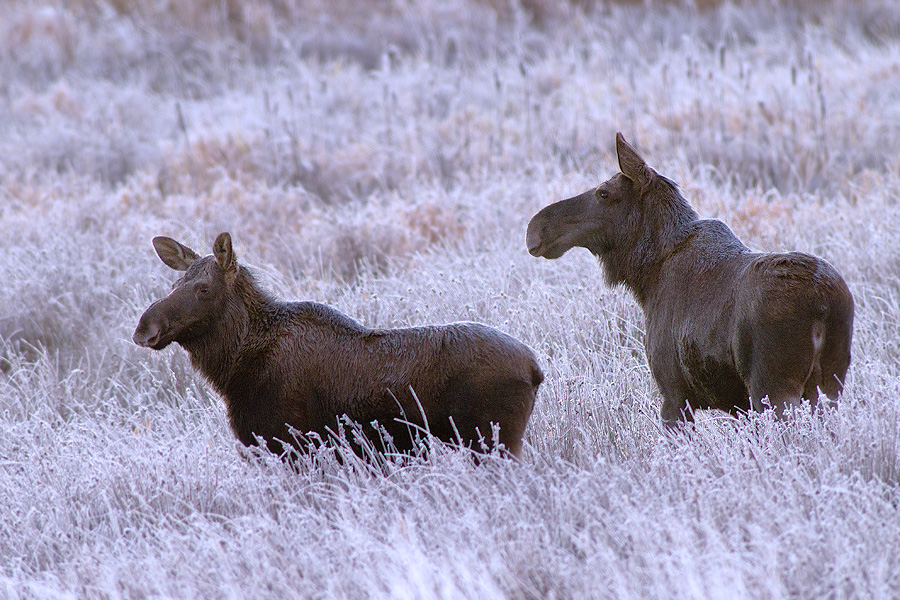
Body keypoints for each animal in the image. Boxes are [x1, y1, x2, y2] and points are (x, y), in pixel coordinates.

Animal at [133, 232, 540, 458]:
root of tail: (536, 370)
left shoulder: (289, 445)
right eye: (175, 285)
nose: (144, 327)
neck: (234, 371)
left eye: (203, 289)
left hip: (492, 442)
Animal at [524, 135, 856, 426]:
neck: (646, 278)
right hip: (830, 387)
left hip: (773, 390)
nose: (536, 228)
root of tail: (823, 305)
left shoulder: (674, 393)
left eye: (604, 193)